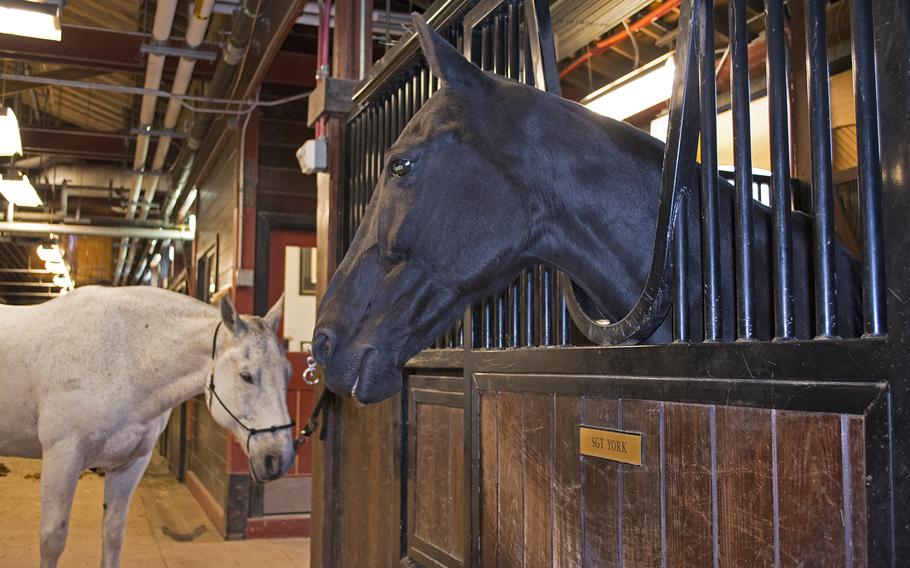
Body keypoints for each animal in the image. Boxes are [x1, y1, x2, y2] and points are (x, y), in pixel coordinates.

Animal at [0, 286, 298, 568]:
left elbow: (113, 534)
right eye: (246, 376)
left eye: (288, 372)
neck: (121, 357)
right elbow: (52, 539)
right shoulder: (62, 457)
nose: (278, 459)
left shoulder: (130, 464)